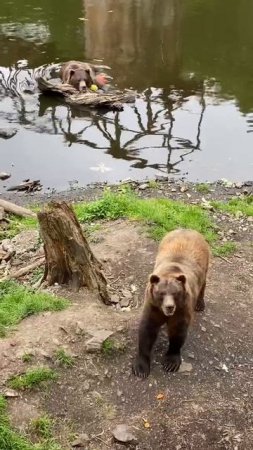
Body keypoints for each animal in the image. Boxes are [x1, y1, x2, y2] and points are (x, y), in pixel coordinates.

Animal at [132, 227, 210, 378]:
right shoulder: (153, 306)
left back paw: (200, 304)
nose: (169, 307)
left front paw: (170, 363)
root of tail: (188, 229)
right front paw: (141, 368)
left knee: (203, 282)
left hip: (205, 263)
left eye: (175, 293)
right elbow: (147, 331)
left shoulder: (182, 308)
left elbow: (177, 332)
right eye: (161, 293)